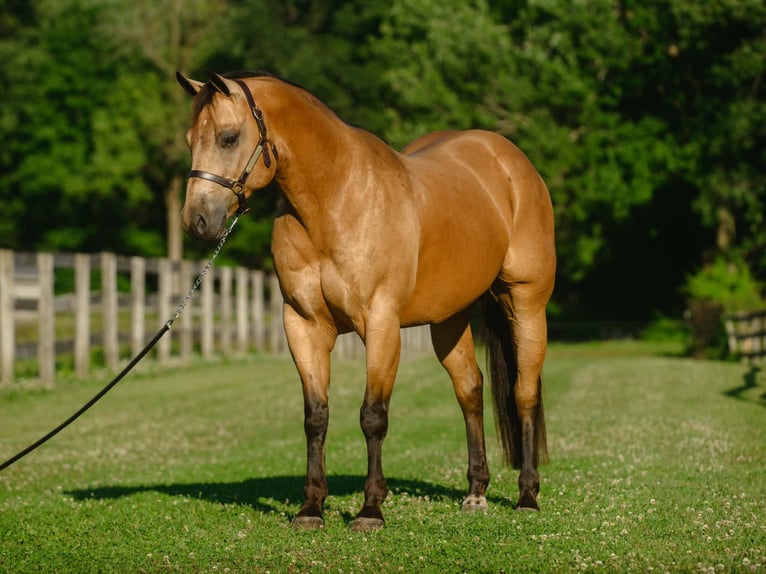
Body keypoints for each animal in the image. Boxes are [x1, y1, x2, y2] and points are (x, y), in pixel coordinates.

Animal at [176, 71, 556, 532]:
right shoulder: (304, 325)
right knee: (470, 390)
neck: (335, 199)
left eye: (229, 137)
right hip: (449, 320)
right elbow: (316, 416)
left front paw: (370, 509)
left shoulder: (380, 323)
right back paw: (476, 493)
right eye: (190, 139)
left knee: (524, 393)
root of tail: (508, 160)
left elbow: (373, 415)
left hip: (527, 305)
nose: (197, 222)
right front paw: (311, 507)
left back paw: (527, 496)